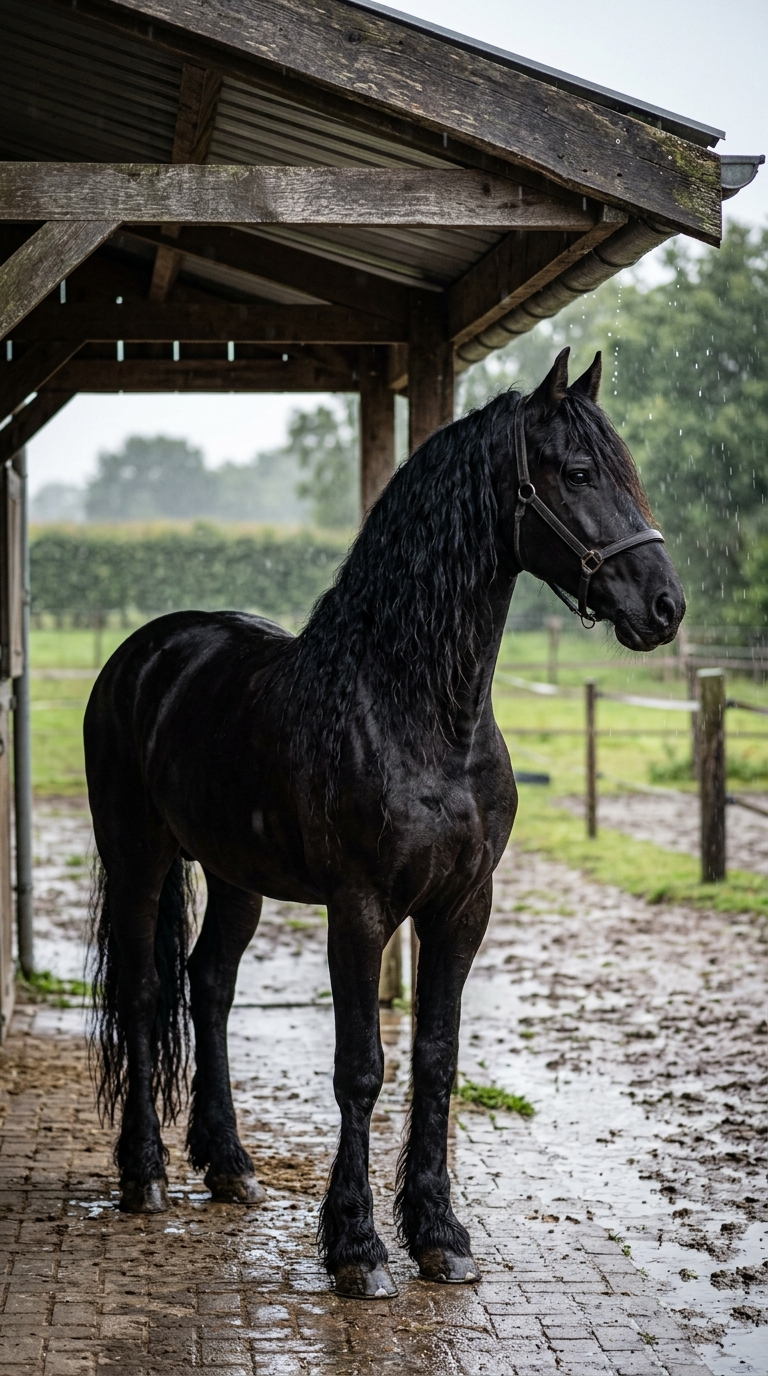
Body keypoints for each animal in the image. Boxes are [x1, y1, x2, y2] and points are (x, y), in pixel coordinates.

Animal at [84, 347, 684, 1299]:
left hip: (233, 874)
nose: (666, 608)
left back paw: (230, 1167)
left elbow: (435, 1058)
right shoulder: (360, 910)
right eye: (578, 472)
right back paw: (144, 1174)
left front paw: (440, 1235)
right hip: (138, 853)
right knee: (146, 991)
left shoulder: (463, 909)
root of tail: (146, 653)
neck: (418, 714)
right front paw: (357, 1248)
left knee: (209, 984)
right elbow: (360, 1068)